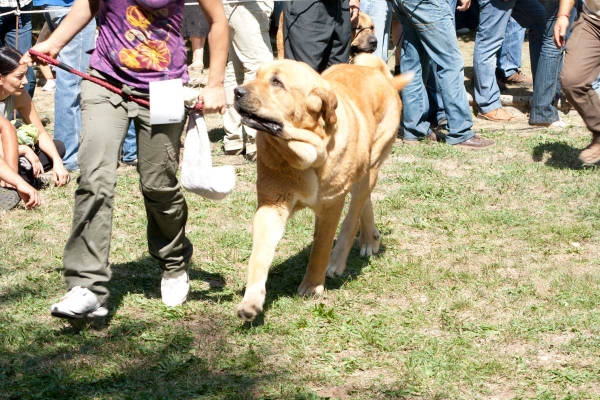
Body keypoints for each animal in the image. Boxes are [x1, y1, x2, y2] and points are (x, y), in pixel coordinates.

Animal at [233, 54, 412, 322]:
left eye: (277, 82)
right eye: (256, 76)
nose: (237, 91)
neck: (304, 154)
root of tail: (377, 71)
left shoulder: (331, 205)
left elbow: (321, 247)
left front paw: (312, 285)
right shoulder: (271, 205)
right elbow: (259, 255)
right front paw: (251, 301)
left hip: (372, 163)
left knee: (353, 214)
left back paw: (340, 258)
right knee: (363, 202)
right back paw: (370, 238)